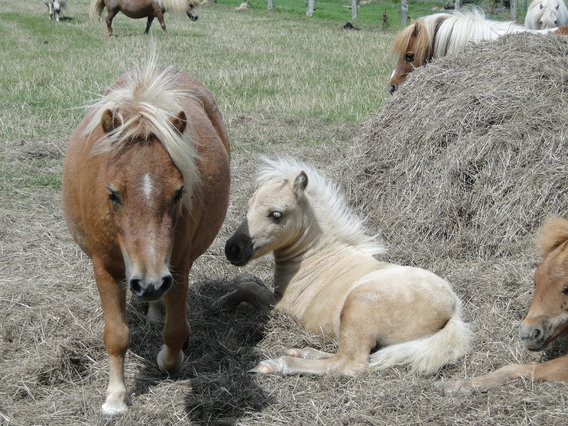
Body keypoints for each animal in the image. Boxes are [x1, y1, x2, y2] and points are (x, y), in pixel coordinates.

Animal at [62, 63, 231, 416]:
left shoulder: (177, 265)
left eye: (179, 192)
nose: (150, 282)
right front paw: (115, 397)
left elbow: (177, 330)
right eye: (112, 194)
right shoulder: (105, 268)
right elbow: (116, 335)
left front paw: (168, 359)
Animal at [220, 157, 472, 376]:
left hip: (358, 308)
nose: (232, 249)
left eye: (275, 214)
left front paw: (221, 303)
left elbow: (249, 287)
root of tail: (453, 309)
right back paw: (303, 351)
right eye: (248, 207)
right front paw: (222, 302)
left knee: (348, 363)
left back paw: (276, 364)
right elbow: (246, 286)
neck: (315, 258)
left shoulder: (283, 306)